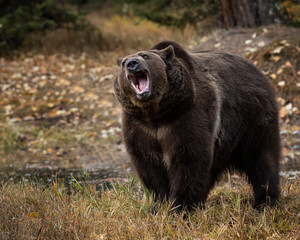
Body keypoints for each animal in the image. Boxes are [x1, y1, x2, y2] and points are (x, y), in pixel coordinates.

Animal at [113, 40, 280, 212]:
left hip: (252, 117)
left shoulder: (186, 116)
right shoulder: (140, 126)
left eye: (145, 56)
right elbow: (149, 164)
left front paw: (180, 207)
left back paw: (265, 201)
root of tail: (256, 69)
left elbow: (188, 159)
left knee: (261, 158)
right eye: (124, 62)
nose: (132, 64)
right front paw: (160, 204)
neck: (156, 112)